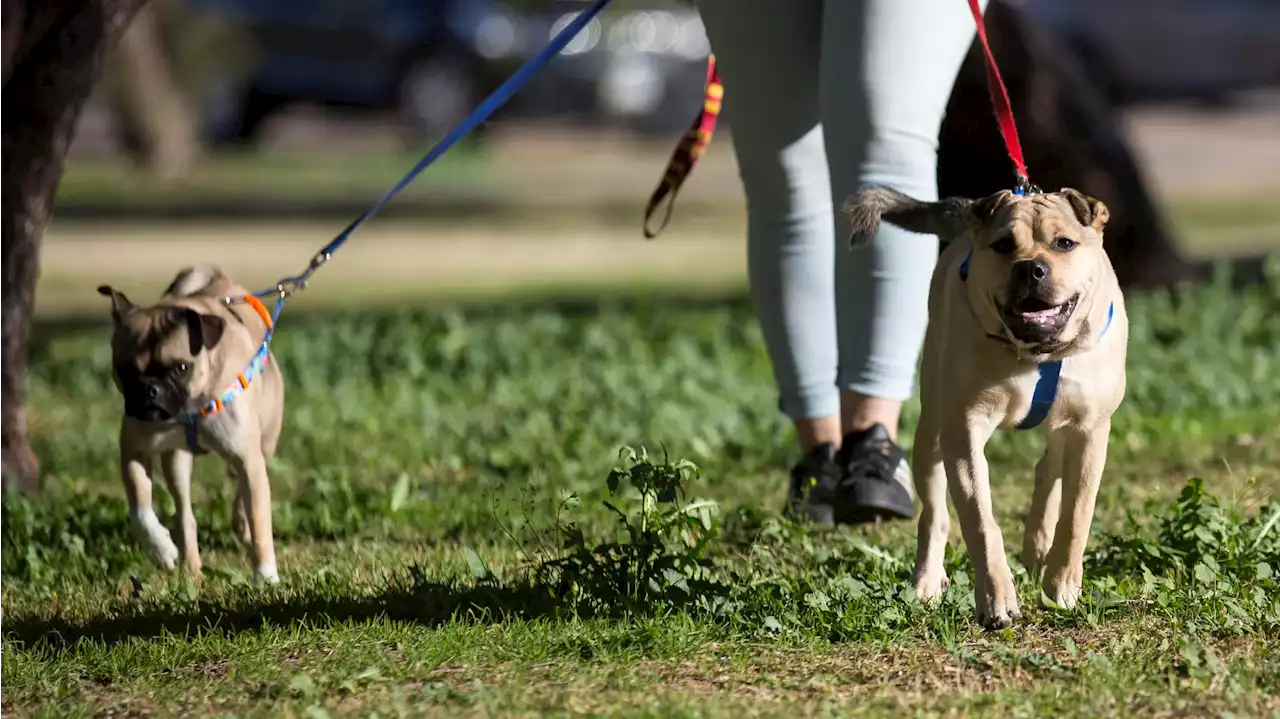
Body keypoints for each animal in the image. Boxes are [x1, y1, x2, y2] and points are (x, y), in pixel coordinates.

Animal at [96, 263, 285, 583]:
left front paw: (266, 575)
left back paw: (241, 525)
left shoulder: (247, 458)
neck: (191, 406)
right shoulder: (135, 448)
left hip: (265, 444)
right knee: (185, 514)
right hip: (177, 463)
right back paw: (192, 568)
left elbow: (260, 520)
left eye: (181, 368)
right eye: (125, 369)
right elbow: (140, 506)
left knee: (244, 491)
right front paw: (160, 548)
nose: (149, 388)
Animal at [849, 185, 1131, 626]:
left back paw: (1038, 543)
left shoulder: (1089, 429)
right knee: (935, 512)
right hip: (932, 428)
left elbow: (1076, 515)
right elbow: (981, 521)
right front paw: (997, 600)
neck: (1034, 352)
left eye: (1064, 243)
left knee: (1049, 467)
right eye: (1003, 245)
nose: (1030, 268)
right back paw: (927, 582)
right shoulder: (964, 431)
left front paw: (1062, 587)